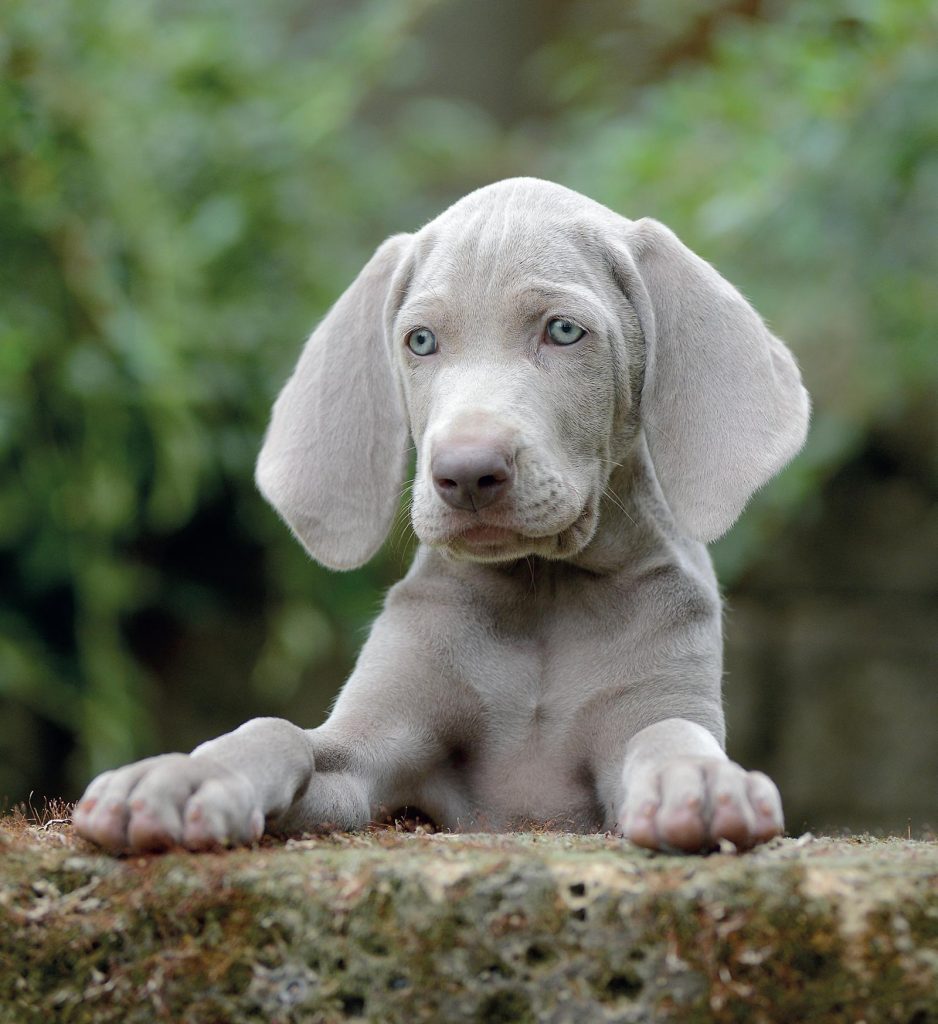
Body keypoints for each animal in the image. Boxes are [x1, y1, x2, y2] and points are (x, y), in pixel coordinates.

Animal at [73, 178, 806, 856]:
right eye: (421, 341)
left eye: (563, 331)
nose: (467, 474)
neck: (542, 591)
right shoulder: (372, 747)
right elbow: (276, 730)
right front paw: (184, 775)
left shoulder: (652, 708)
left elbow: (669, 731)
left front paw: (700, 780)